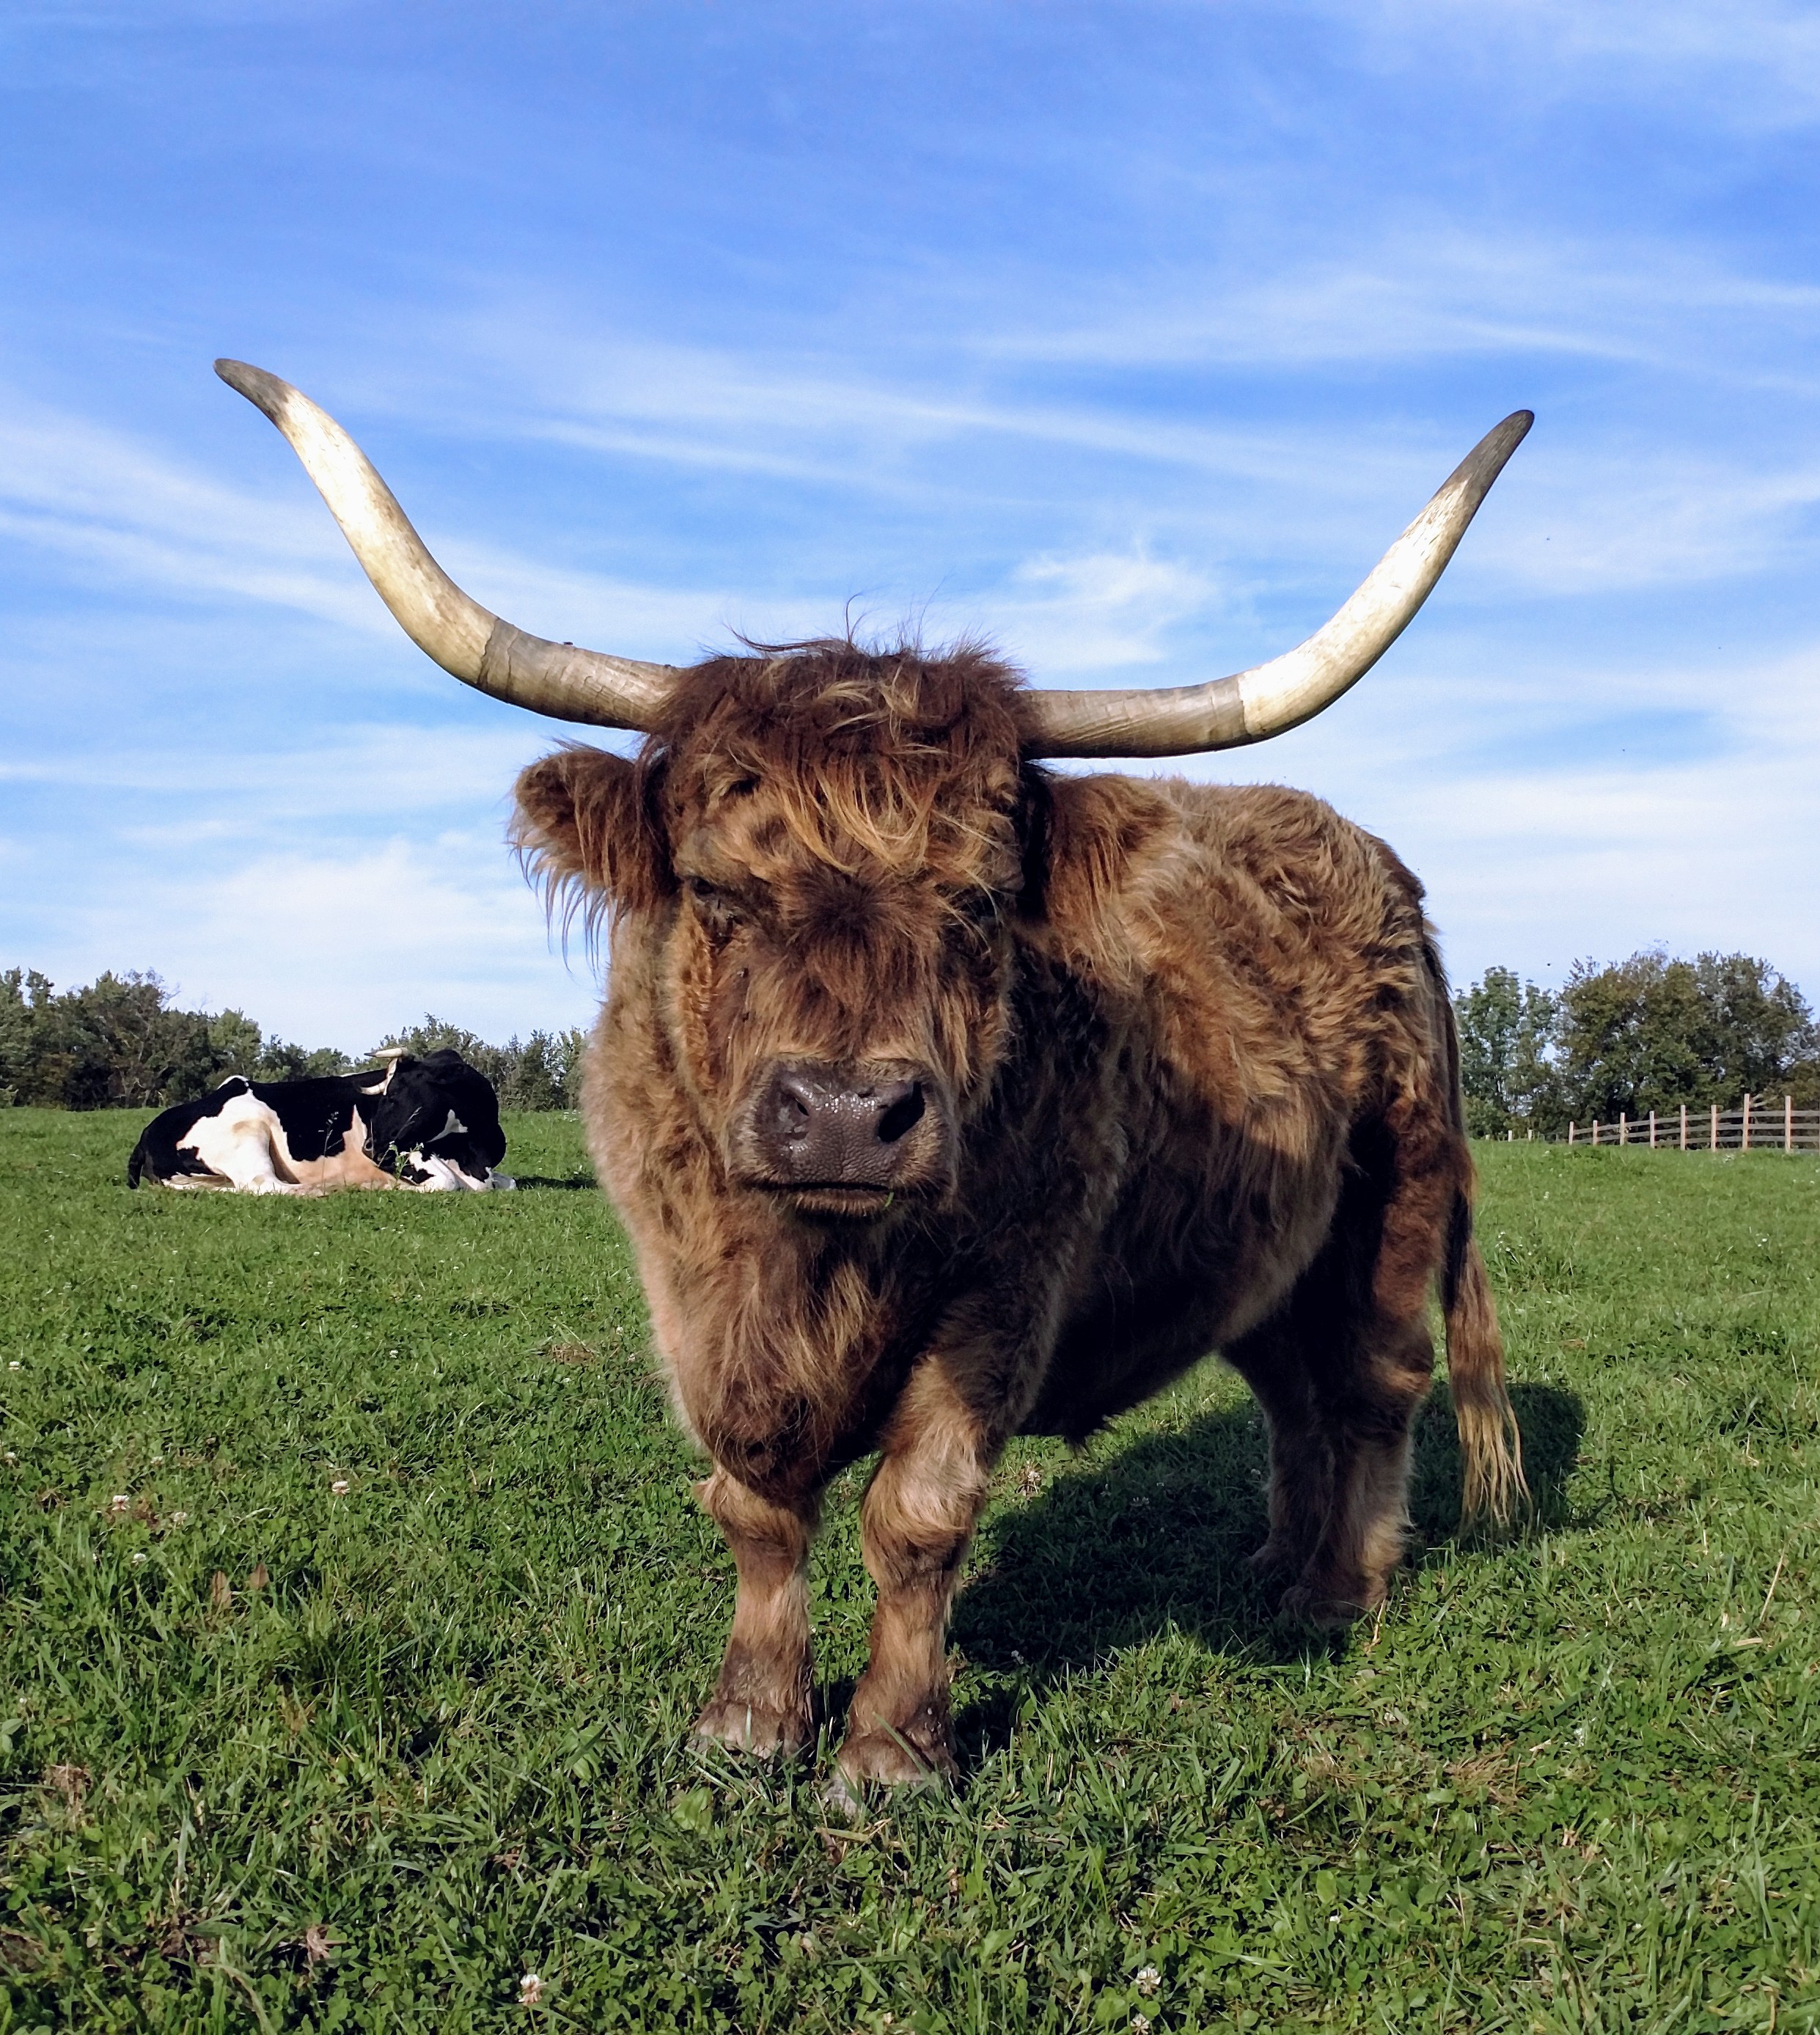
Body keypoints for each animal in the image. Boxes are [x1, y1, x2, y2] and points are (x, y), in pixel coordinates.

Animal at [127, 1047, 513, 1194]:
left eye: (396, 1095)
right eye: (386, 1095)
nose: (370, 1148)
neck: (473, 1152)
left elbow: (507, 1183)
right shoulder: (405, 1153)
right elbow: (447, 1183)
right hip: (247, 1133)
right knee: (265, 1186)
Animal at [217, 360, 1530, 1801]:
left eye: (979, 902)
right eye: (715, 890)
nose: (847, 1118)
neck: (810, 1262)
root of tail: (1371, 862)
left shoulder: (1009, 1282)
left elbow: (916, 1510)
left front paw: (893, 1747)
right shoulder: (688, 1293)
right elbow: (753, 1499)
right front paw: (748, 1722)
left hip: (1393, 1200)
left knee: (1371, 1385)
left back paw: (1341, 1590)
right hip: (1258, 1252)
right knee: (1291, 1391)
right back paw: (1272, 1565)